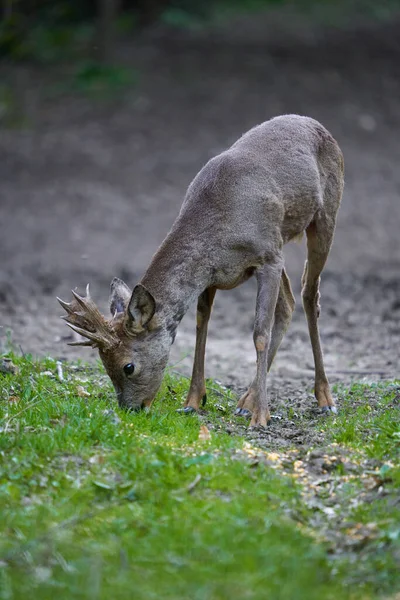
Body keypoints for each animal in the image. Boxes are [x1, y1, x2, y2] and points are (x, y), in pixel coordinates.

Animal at [58, 115, 344, 426]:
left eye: (128, 366)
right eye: (103, 363)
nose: (130, 409)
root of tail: (315, 124)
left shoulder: (267, 256)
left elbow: (259, 334)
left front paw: (261, 416)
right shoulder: (213, 274)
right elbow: (200, 327)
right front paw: (193, 403)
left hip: (324, 217)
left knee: (309, 295)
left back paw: (324, 398)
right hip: (281, 242)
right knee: (288, 303)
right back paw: (245, 401)